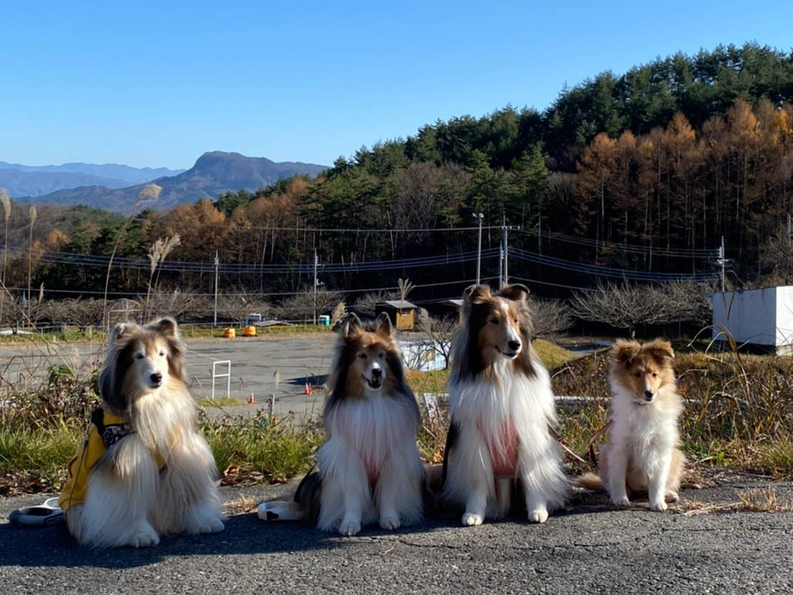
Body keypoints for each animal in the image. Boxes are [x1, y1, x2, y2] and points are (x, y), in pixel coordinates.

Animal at [58, 318, 223, 548]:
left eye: (162, 354)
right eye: (139, 356)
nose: (157, 377)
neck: (150, 401)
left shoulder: (180, 455)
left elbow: (189, 494)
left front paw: (204, 521)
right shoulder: (126, 460)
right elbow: (128, 504)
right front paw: (139, 534)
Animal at [576, 340, 688, 512]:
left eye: (654, 374)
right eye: (637, 374)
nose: (650, 393)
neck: (643, 407)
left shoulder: (660, 448)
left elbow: (657, 481)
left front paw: (657, 502)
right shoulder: (619, 448)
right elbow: (618, 478)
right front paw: (621, 499)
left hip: (676, 456)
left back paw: (668, 494)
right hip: (605, 453)